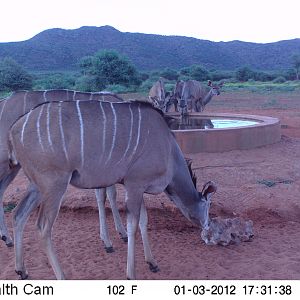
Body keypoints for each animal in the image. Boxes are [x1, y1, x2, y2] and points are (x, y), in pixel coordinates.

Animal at [0, 90, 126, 250]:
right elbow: (103, 196)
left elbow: (111, 194)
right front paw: (108, 240)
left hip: (14, 167)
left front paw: (122, 233)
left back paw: (7, 238)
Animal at [8, 100, 216, 278]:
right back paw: (61, 277)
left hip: (37, 185)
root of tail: (14, 128)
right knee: (43, 228)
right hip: (55, 185)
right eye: (208, 206)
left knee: (19, 214)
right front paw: (131, 273)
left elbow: (143, 221)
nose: (207, 226)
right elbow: (132, 226)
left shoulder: (138, 187)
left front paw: (152, 262)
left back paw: (21, 270)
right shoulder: (135, 184)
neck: (168, 149)